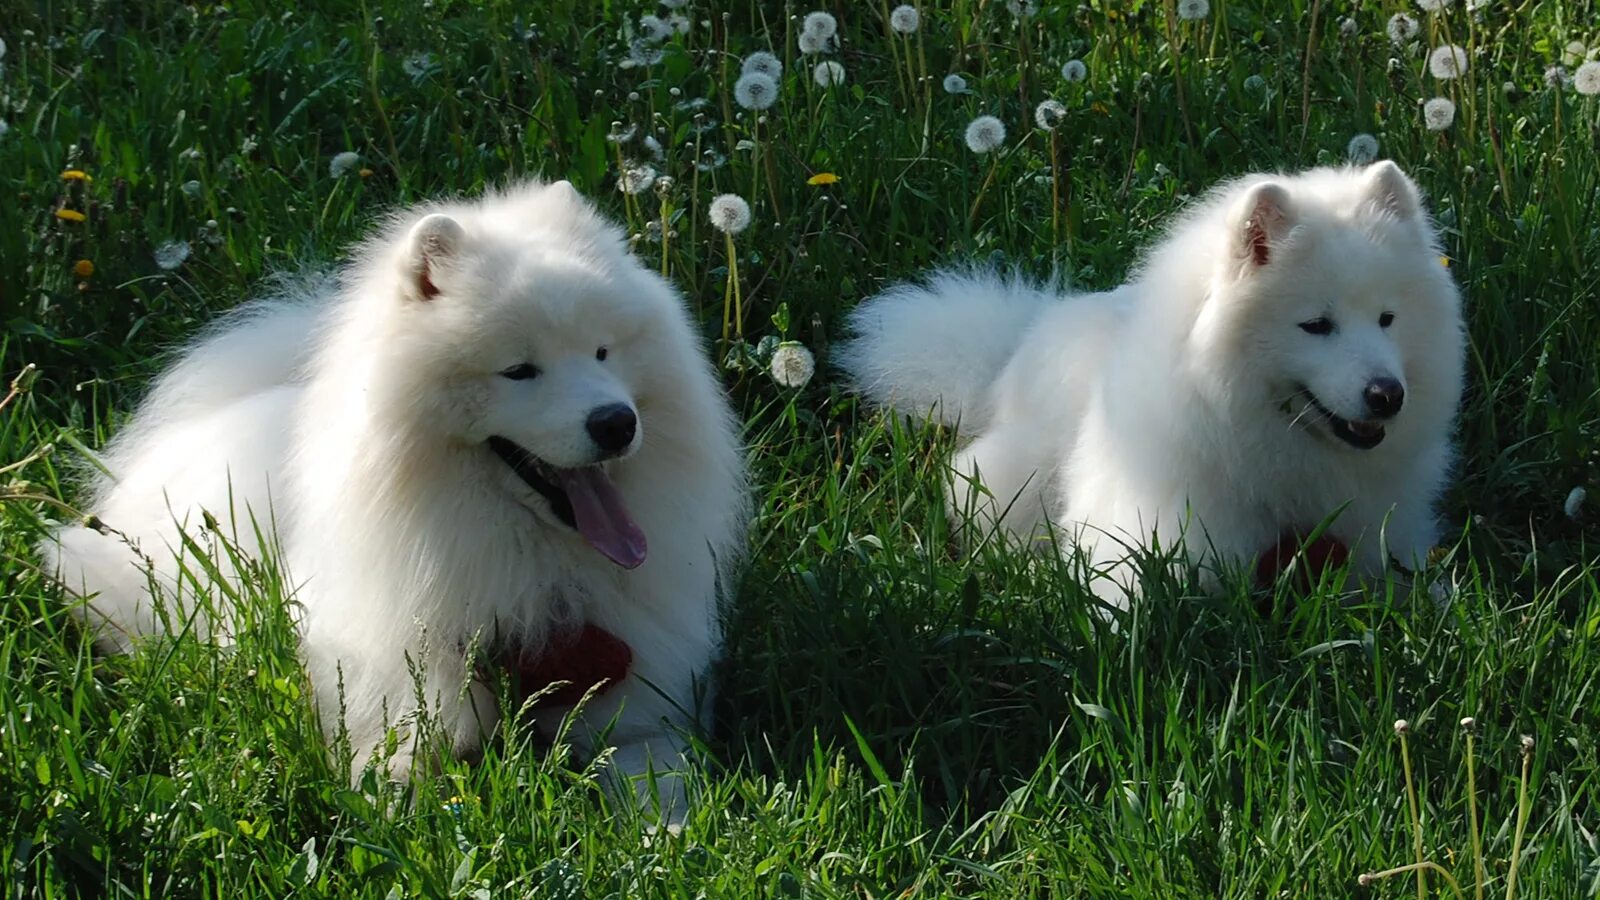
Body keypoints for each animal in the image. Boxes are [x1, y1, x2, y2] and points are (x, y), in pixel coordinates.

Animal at [40, 180, 752, 819]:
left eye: (604, 351)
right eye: (519, 371)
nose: (616, 423)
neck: (529, 569)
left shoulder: (639, 709)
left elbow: (658, 779)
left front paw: (668, 833)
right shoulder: (398, 703)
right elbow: (392, 784)